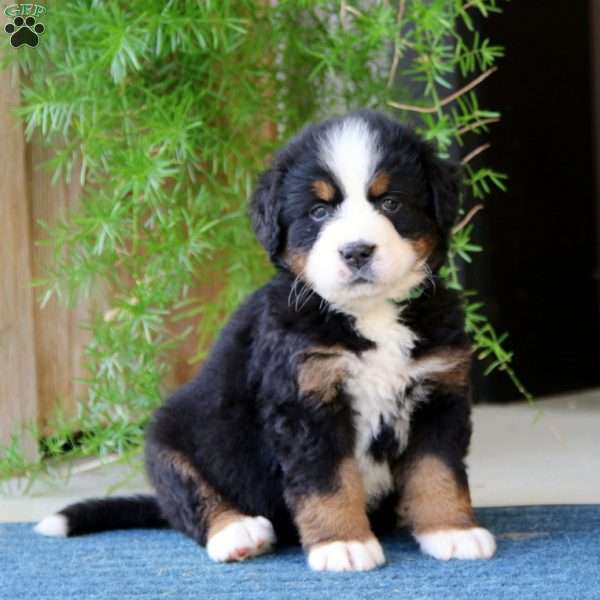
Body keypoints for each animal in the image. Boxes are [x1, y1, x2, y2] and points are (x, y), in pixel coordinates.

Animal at [36, 110, 496, 576]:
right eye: (318, 211)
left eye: (391, 203)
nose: (356, 251)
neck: (370, 314)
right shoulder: (306, 401)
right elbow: (329, 480)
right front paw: (343, 543)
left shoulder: (439, 392)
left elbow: (437, 471)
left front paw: (451, 530)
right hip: (169, 438)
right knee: (190, 498)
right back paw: (237, 531)